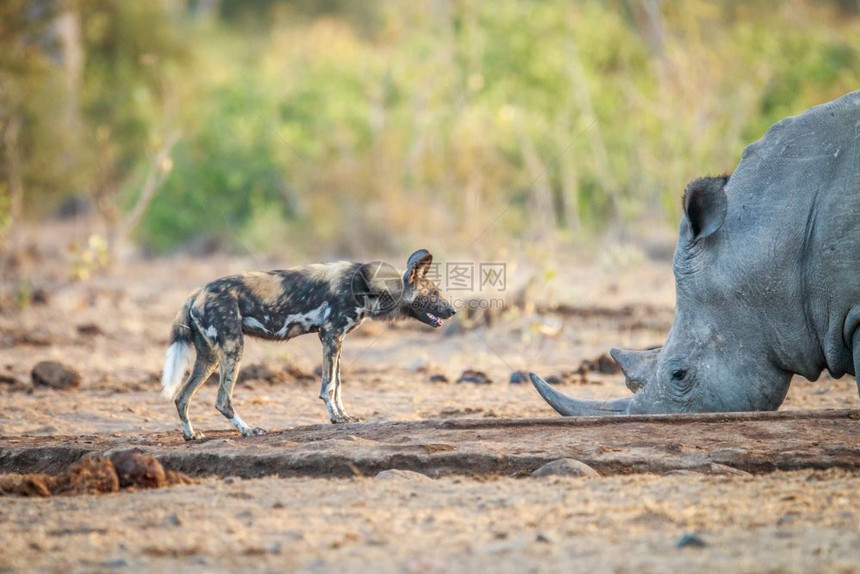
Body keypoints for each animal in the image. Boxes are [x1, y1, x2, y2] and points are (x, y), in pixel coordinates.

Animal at [162, 250, 456, 444]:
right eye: (433, 294)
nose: (452, 311)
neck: (370, 287)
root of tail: (197, 292)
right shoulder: (331, 335)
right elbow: (329, 386)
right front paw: (336, 418)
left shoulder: (337, 339)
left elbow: (338, 384)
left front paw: (344, 416)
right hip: (234, 349)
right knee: (223, 400)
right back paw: (248, 431)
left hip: (210, 358)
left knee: (182, 397)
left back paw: (191, 434)